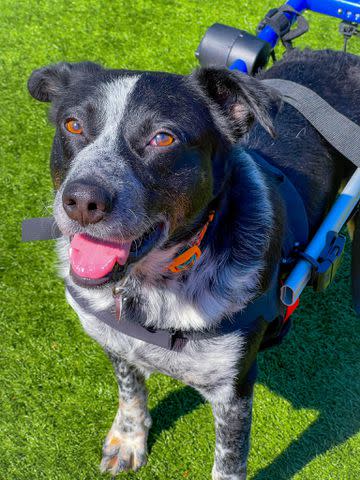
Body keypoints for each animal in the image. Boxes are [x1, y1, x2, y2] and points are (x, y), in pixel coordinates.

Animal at [26, 49, 358, 480]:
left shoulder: (233, 388)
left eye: (163, 138)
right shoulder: (114, 342)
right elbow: (130, 391)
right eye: (73, 124)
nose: (82, 200)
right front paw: (128, 440)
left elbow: (229, 461)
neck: (150, 289)